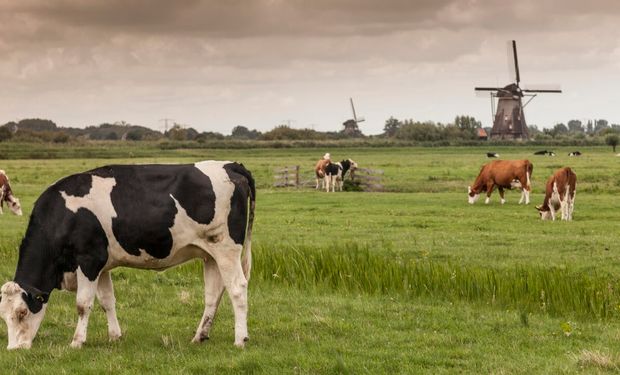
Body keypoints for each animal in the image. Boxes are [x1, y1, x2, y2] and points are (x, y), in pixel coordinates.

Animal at [0, 162, 254, 352]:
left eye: (22, 312)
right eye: (3, 315)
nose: (14, 349)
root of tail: (229, 165)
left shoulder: (90, 260)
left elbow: (83, 304)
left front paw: (77, 341)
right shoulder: (102, 265)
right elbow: (107, 301)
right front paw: (115, 336)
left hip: (227, 248)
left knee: (237, 288)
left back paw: (240, 339)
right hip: (211, 254)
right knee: (213, 294)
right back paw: (199, 336)